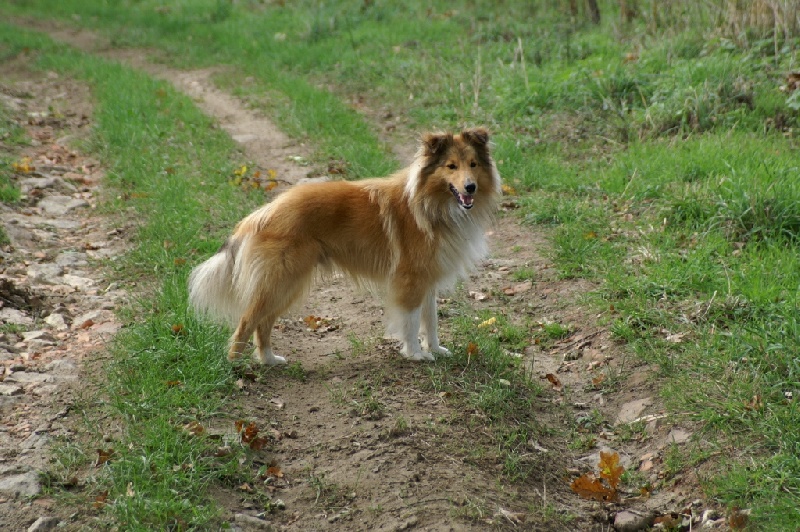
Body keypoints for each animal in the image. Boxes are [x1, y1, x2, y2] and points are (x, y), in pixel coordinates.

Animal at [188, 127, 500, 364]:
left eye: (473, 164)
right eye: (451, 166)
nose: (470, 187)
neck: (430, 204)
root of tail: (260, 214)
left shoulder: (428, 280)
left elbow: (431, 320)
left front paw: (435, 349)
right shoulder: (410, 281)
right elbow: (411, 321)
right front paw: (415, 354)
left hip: (287, 284)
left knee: (262, 323)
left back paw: (269, 361)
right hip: (281, 280)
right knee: (246, 321)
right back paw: (236, 365)